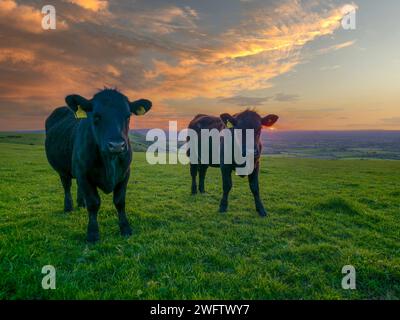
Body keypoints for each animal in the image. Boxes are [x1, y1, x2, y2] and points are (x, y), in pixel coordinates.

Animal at [44, 89, 152, 241]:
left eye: (128, 116)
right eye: (96, 116)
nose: (117, 145)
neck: (109, 162)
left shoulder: (125, 174)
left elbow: (120, 201)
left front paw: (125, 228)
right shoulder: (84, 174)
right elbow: (93, 203)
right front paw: (93, 233)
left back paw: (81, 203)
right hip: (63, 170)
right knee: (67, 186)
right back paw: (68, 207)